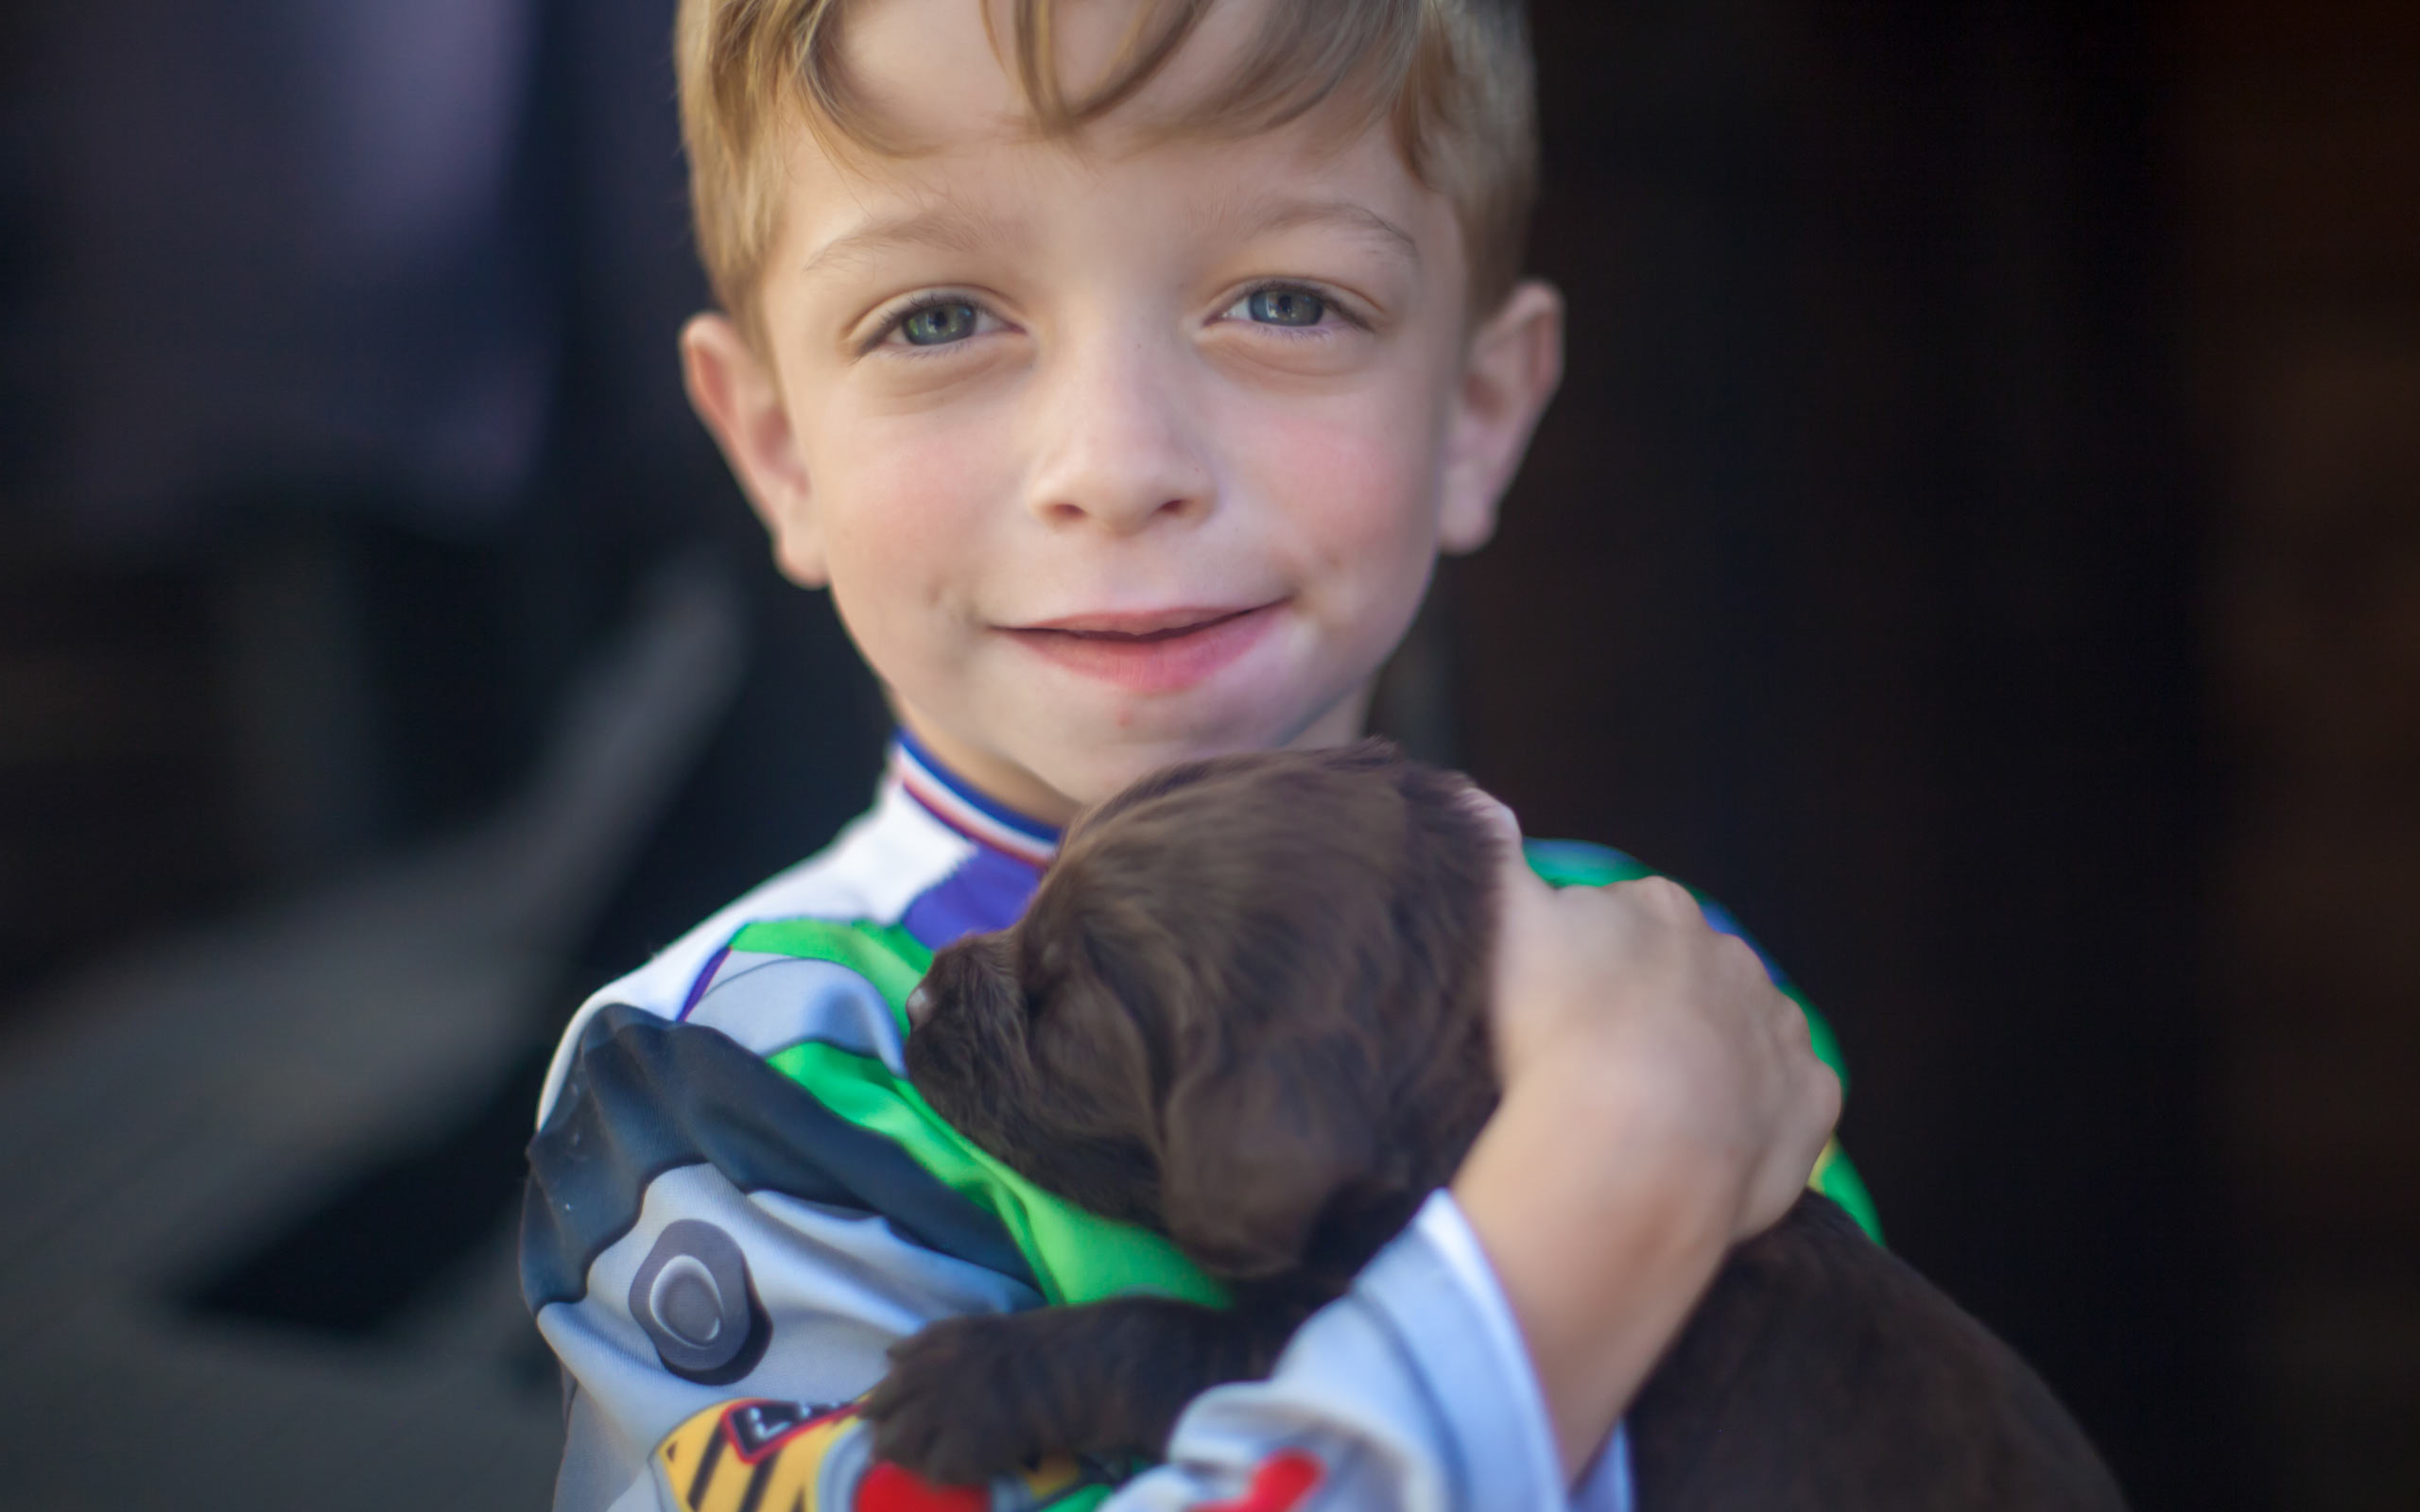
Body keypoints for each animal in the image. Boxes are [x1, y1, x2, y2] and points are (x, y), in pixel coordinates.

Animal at [866, 735, 2119, 1500]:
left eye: (1062, 1002)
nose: (917, 998)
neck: (1463, 1123)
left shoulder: (1293, 1332)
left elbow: (1160, 1330)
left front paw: (968, 1376)